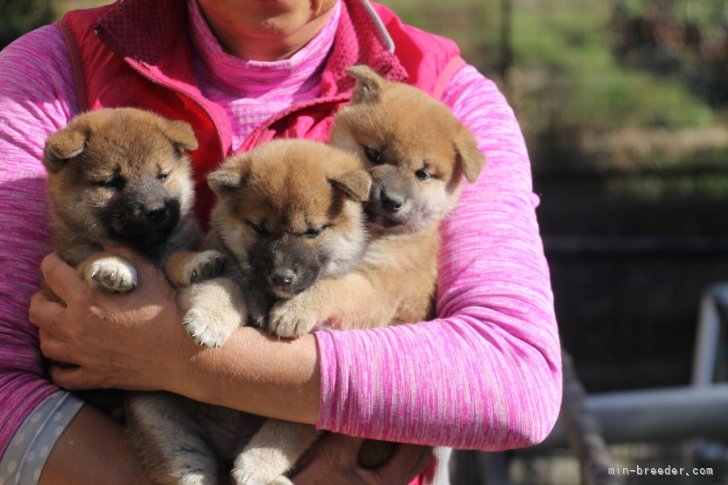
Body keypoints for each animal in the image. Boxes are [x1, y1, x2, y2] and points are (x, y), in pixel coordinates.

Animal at [42, 107, 202, 294]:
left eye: (163, 176)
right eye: (112, 182)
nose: (156, 211)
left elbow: (175, 256)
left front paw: (193, 260)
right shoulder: (69, 256)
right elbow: (92, 257)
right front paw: (113, 264)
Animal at [125, 138, 372, 484]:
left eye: (312, 231)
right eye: (260, 229)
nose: (282, 276)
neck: (267, 297)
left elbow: (285, 431)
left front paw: (256, 465)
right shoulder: (210, 274)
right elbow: (226, 286)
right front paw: (210, 322)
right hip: (163, 422)